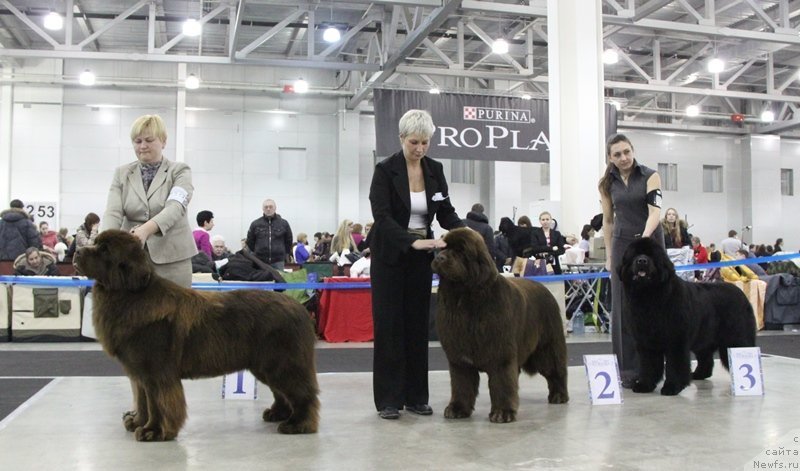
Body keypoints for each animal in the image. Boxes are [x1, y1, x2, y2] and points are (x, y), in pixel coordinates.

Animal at [73, 230, 318, 440]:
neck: (131, 295)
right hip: (266, 365)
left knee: (303, 393)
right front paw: (138, 422)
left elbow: (157, 403)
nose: (77, 252)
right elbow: (142, 400)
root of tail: (298, 307)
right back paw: (278, 414)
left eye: (104, 249)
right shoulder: (139, 371)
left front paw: (154, 431)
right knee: (282, 392)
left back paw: (298, 424)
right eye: (96, 243)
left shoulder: (155, 371)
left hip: (282, 363)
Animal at [432, 229, 568, 424]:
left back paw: (559, 395)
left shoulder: (500, 353)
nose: (440, 258)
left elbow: (501, 382)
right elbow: (461, 384)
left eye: (460, 251)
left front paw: (502, 413)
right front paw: (457, 408)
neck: (465, 299)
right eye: (443, 248)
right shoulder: (458, 358)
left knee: (556, 369)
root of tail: (543, 287)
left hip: (546, 348)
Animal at [620, 238, 756, 396]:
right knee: (706, 358)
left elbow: (675, 364)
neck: (650, 296)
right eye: (635, 255)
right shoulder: (646, 341)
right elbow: (649, 364)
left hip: (735, 337)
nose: (642, 260)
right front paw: (644, 385)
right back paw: (698, 374)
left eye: (651, 256)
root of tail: (741, 294)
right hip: (704, 337)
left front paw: (672, 387)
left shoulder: (676, 339)